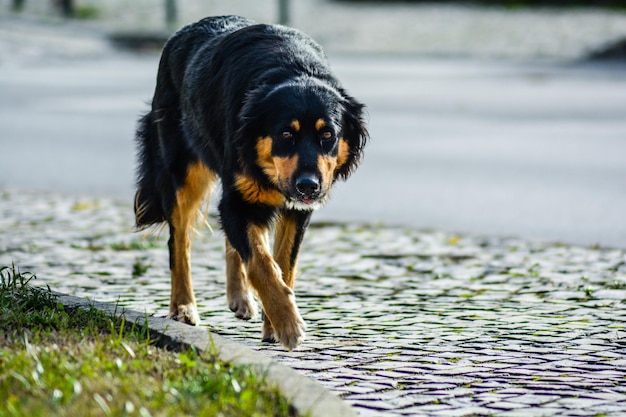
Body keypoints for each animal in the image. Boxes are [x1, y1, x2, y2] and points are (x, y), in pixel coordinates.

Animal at [133, 14, 366, 350]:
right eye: (286, 134)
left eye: (328, 135)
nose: (309, 186)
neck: (291, 69)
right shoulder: (238, 199)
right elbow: (261, 262)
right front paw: (288, 323)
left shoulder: (296, 211)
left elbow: (283, 264)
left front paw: (274, 322)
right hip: (183, 174)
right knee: (180, 242)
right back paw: (183, 307)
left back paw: (239, 296)